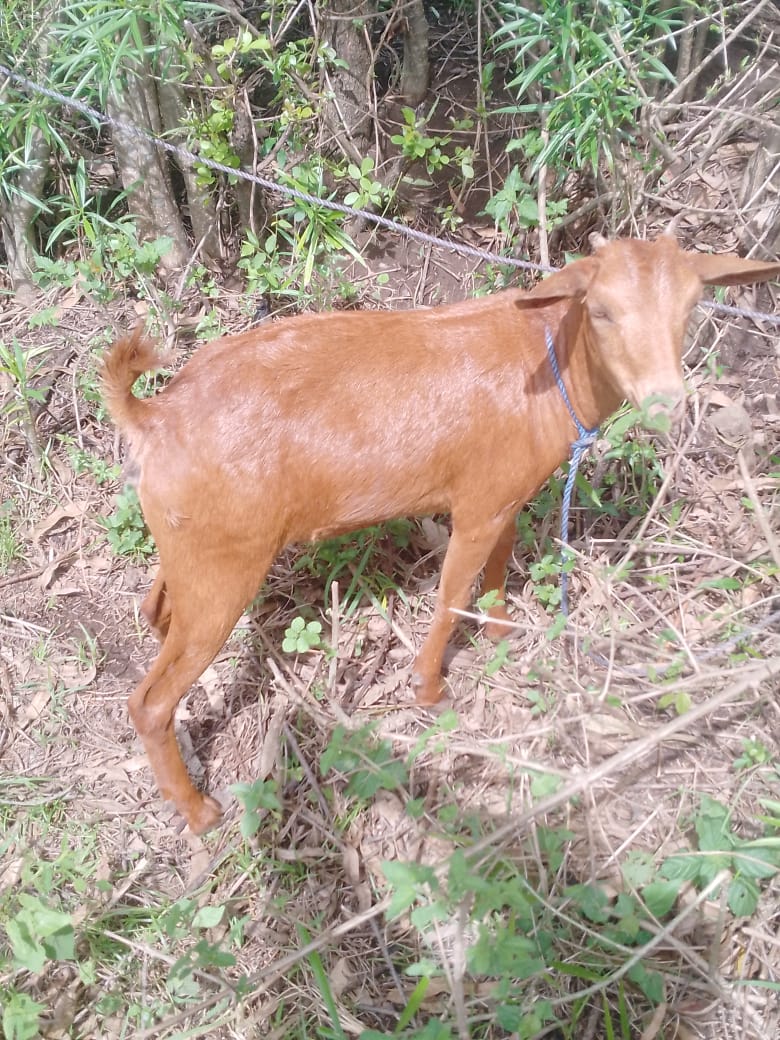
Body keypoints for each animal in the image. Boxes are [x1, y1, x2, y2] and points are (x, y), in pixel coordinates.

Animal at [102, 235, 780, 833]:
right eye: (602, 310)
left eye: (690, 307)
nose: (667, 403)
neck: (546, 363)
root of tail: (154, 416)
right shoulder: (477, 506)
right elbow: (453, 591)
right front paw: (429, 689)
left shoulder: (506, 492)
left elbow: (500, 561)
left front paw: (503, 632)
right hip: (226, 566)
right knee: (149, 702)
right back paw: (198, 812)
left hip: (192, 545)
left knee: (155, 608)